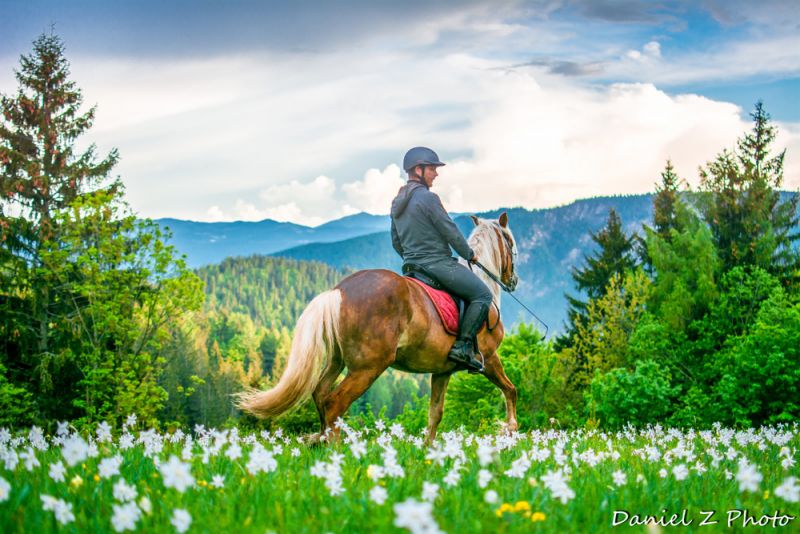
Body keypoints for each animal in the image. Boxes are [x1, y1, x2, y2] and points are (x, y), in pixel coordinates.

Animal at [236, 214, 524, 444]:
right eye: (512, 245)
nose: (514, 281)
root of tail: (338, 290)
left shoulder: (441, 371)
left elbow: (435, 413)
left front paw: (428, 452)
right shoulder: (489, 358)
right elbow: (511, 389)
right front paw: (510, 428)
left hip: (338, 360)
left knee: (320, 394)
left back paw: (320, 443)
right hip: (368, 367)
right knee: (335, 403)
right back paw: (335, 453)